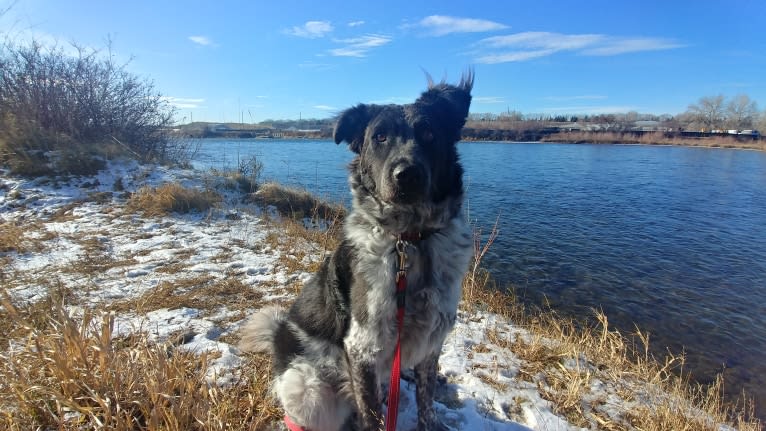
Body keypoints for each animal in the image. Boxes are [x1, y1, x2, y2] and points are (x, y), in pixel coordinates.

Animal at [242, 74, 474, 431]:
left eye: (429, 133)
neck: (410, 240)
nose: (407, 174)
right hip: (310, 388)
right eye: (380, 137)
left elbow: (426, 404)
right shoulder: (362, 347)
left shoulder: (431, 343)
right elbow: (372, 417)